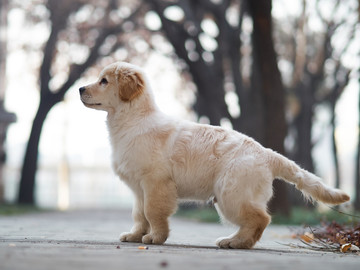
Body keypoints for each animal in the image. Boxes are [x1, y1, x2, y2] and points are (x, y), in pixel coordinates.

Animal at [79, 61, 348, 249]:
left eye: (104, 81)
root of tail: (266, 152)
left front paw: (155, 237)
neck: (133, 119)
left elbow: (153, 212)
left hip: (231, 193)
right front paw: (136, 235)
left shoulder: (156, 183)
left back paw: (235, 242)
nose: (80, 88)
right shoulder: (139, 187)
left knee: (260, 218)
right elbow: (139, 213)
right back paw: (236, 241)